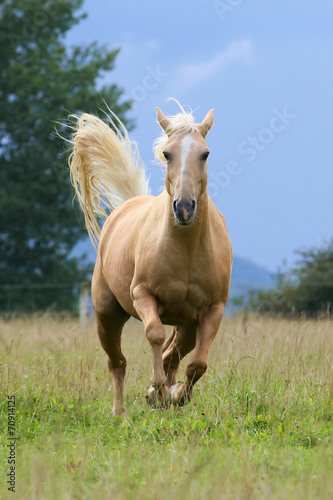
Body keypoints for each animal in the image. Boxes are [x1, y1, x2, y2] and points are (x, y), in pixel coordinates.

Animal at [67, 101, 231, 414]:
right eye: (167, 153)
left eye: (204, 154)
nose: (184, 208)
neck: (186, 249)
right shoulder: (143, 295)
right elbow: (154, 333)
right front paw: (159, 388)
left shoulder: (213, 310)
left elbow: (197, 364)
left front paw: (174, 393)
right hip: (106, 315)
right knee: (117, 362)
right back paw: (120, 412)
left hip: (187, 324)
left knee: (171, 355)